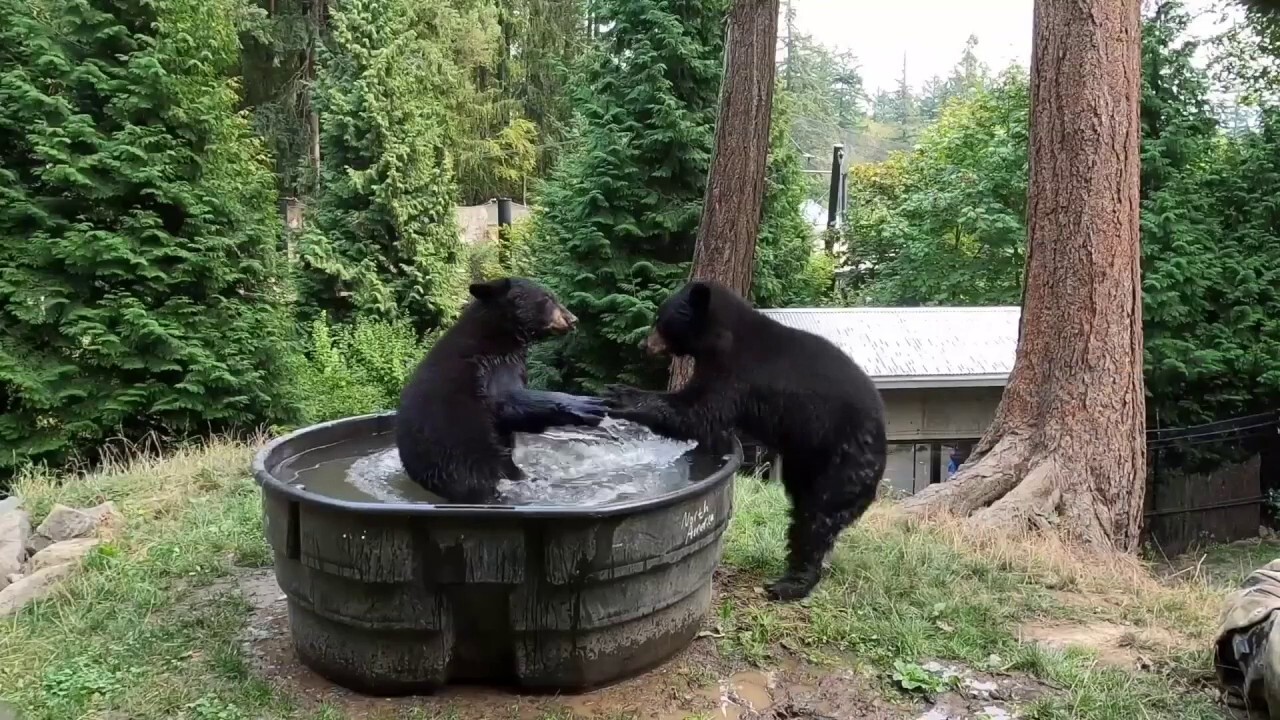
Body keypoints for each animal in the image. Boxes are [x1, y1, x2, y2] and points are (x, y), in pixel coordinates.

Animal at [394, 278, 604, 502]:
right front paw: (586, 405)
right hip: (463, 460)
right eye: (547, 298)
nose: (572, 319)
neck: (498, 334)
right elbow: (507, 400)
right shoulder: (491, 366)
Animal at [601, 280, 885, 599]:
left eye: (660, 320)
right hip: (806, 462)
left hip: (843, 461)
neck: (720, 339)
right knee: (803, 513)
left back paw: (791, 583)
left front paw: (624, 396)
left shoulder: (736, 376)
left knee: (818, 517)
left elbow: (697, 412)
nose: (644, 345)